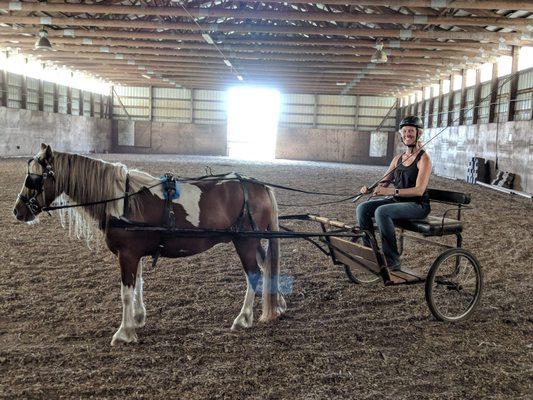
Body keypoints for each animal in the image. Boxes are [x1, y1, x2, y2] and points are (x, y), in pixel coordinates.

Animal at [13, 144, 286, 344]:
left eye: (34, 179)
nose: (18, 211)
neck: (121, 201)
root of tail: (259, 186)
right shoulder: (135, 254)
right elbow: (138, 285)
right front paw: (137, 317)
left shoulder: (127, 254)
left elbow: (126, 292)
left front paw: (124, 332)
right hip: (254, 242)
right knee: (266, 267)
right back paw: (278, 302)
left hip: (245, 242)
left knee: (253, 274)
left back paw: (243, 318)